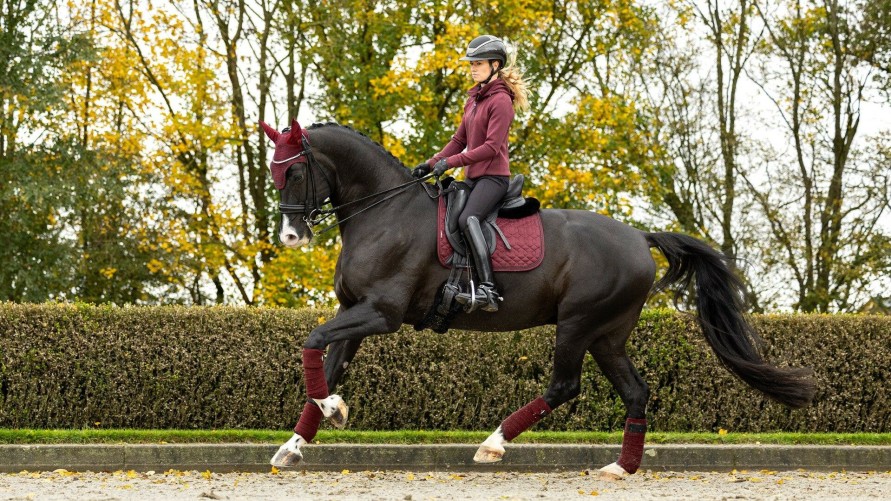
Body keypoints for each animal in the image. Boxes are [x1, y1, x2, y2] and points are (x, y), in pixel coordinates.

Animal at [256, 119, 816, 478]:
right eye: (274, 170)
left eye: (295, 171)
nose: (290, 237)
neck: (383, 212)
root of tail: (639, 237)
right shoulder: (355, 310)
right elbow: (325, 364)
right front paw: (300, 439)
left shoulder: (380, 313)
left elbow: (312, 343)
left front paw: (331, 411)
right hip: (607, 335)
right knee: (636, 392)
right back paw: (621, 467)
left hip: (578, 323)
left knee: (565, 385)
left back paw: (493, 445)